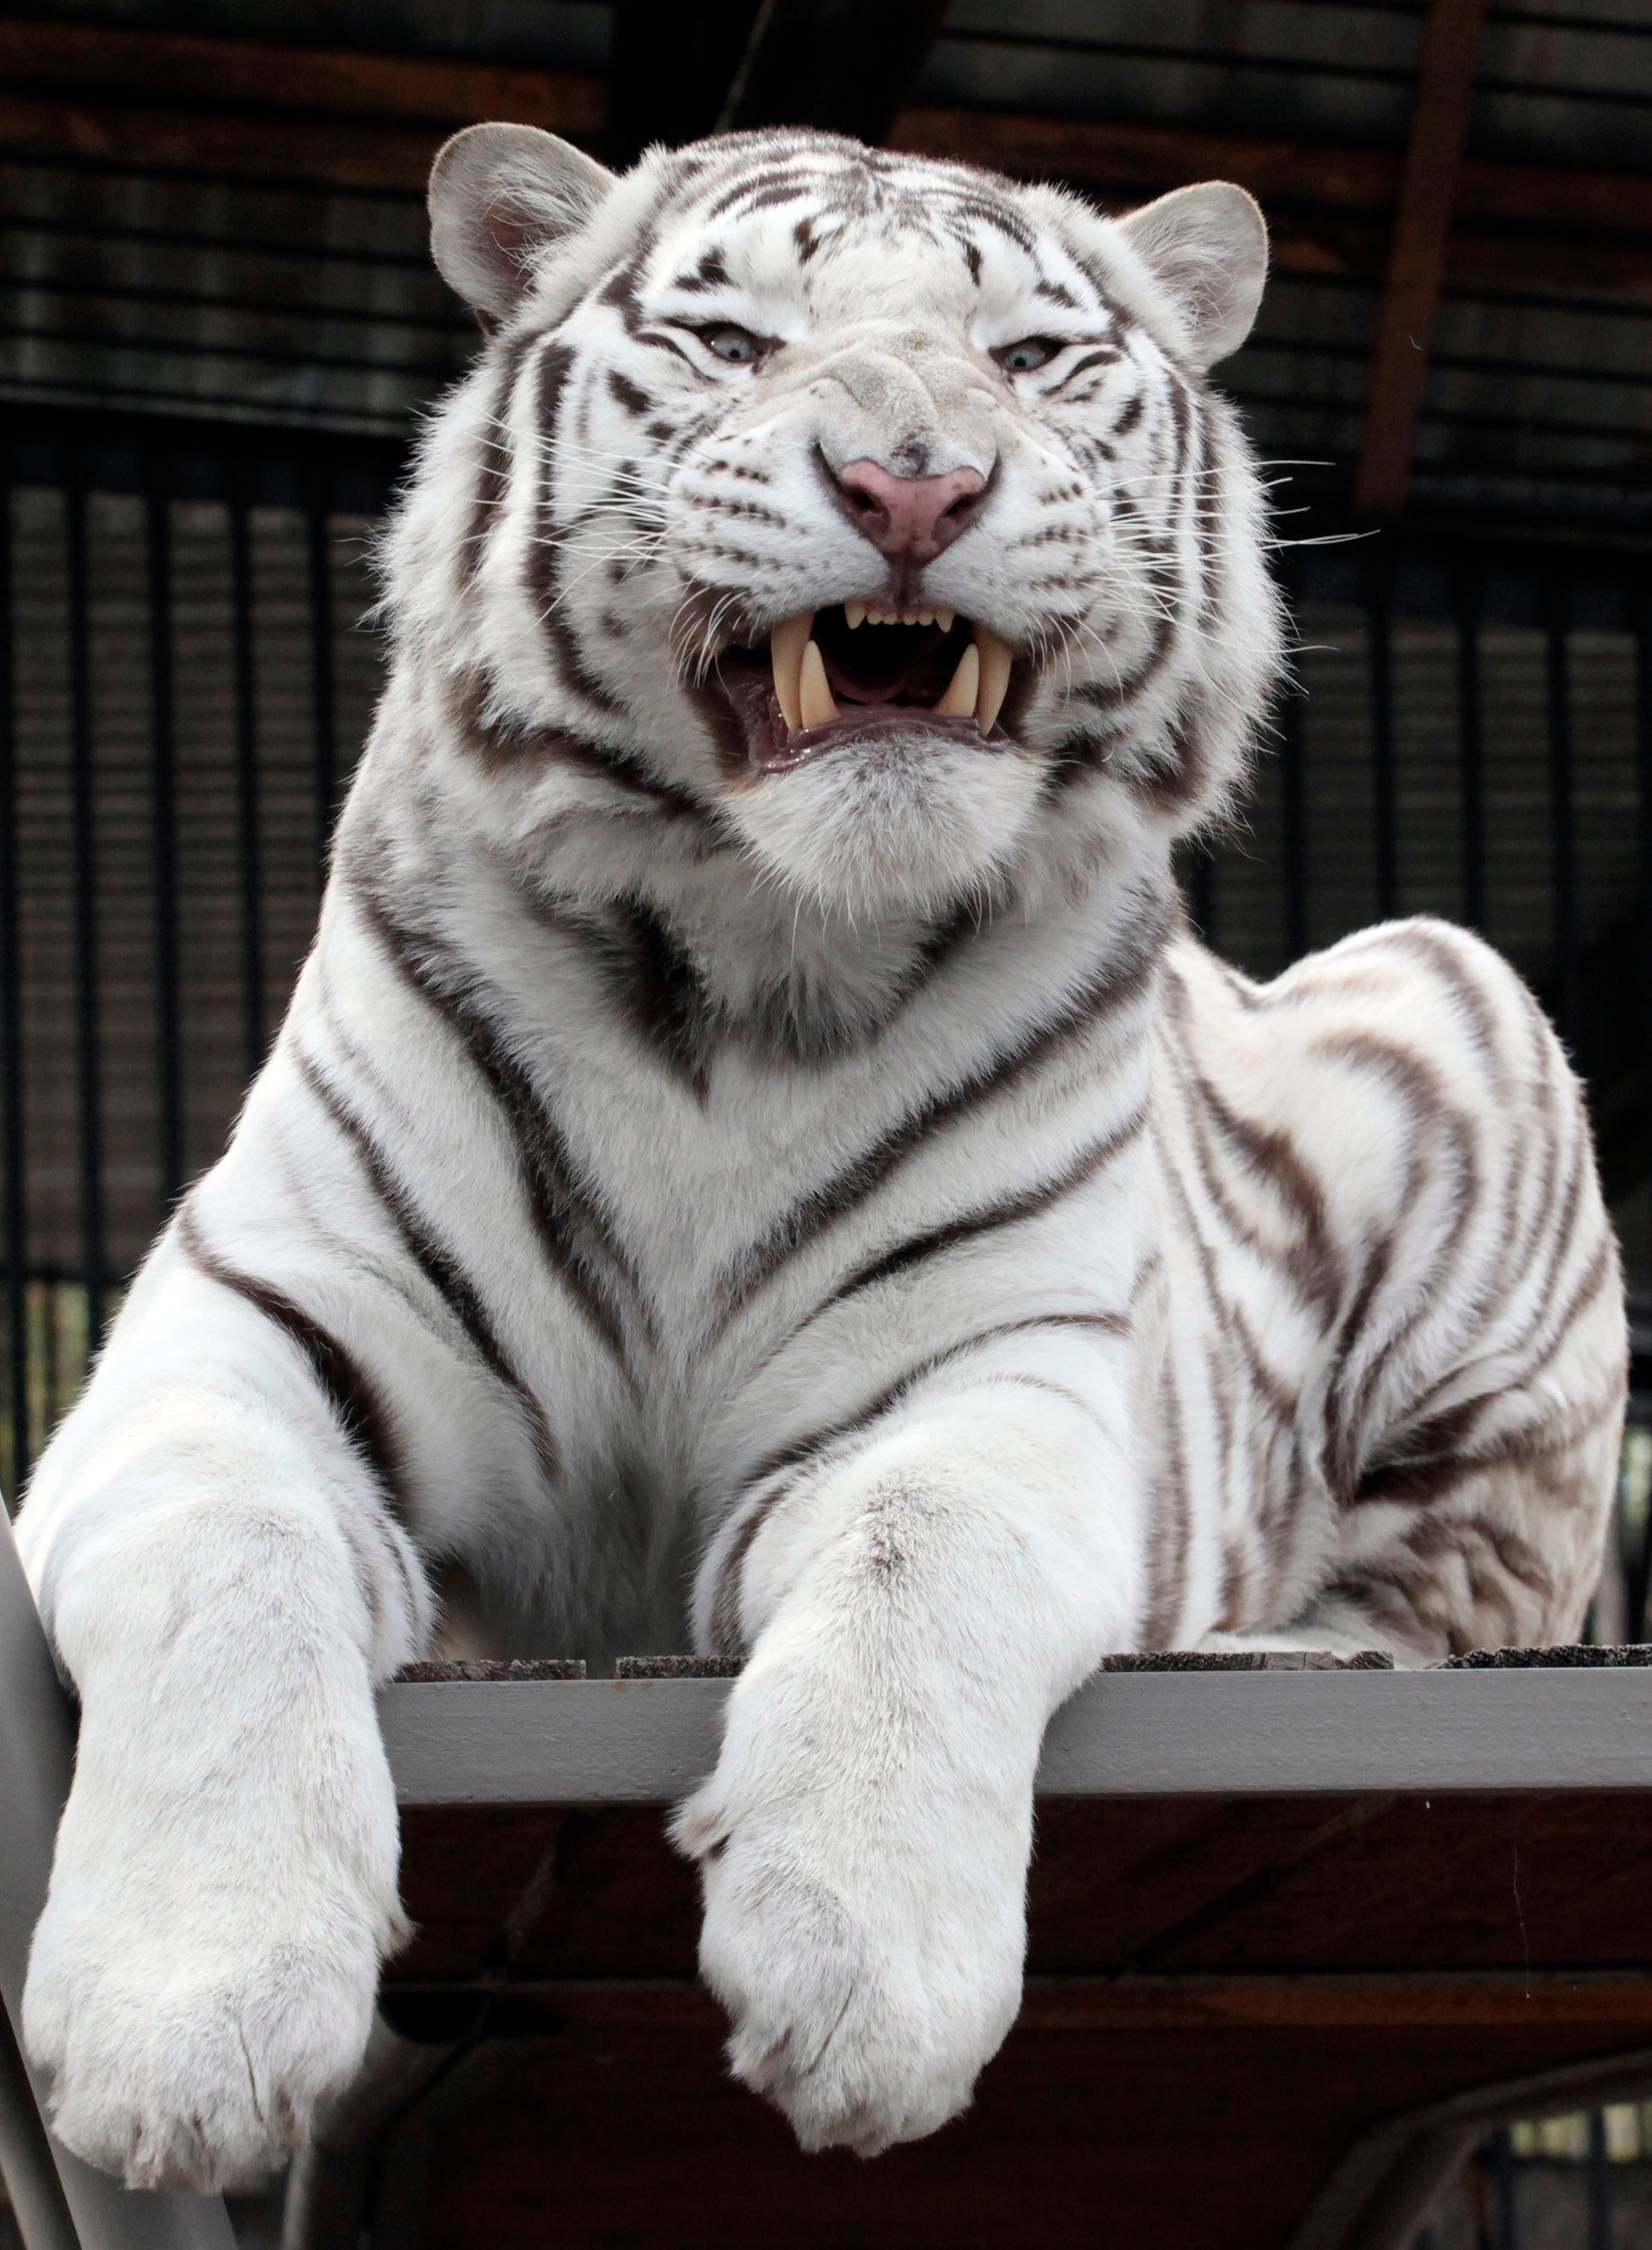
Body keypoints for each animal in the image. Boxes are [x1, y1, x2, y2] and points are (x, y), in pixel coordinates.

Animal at [16, 121, 1626, 2190]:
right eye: (730, 338)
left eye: (1028, 360)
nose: (911, 481)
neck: (745, 963)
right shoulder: (237, 1337)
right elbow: (226, 1553)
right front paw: (186, 2021)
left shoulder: (987, 1379)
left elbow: (911, 1552)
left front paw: (859, 1976)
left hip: (1446, 990)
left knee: (1430, 1604)